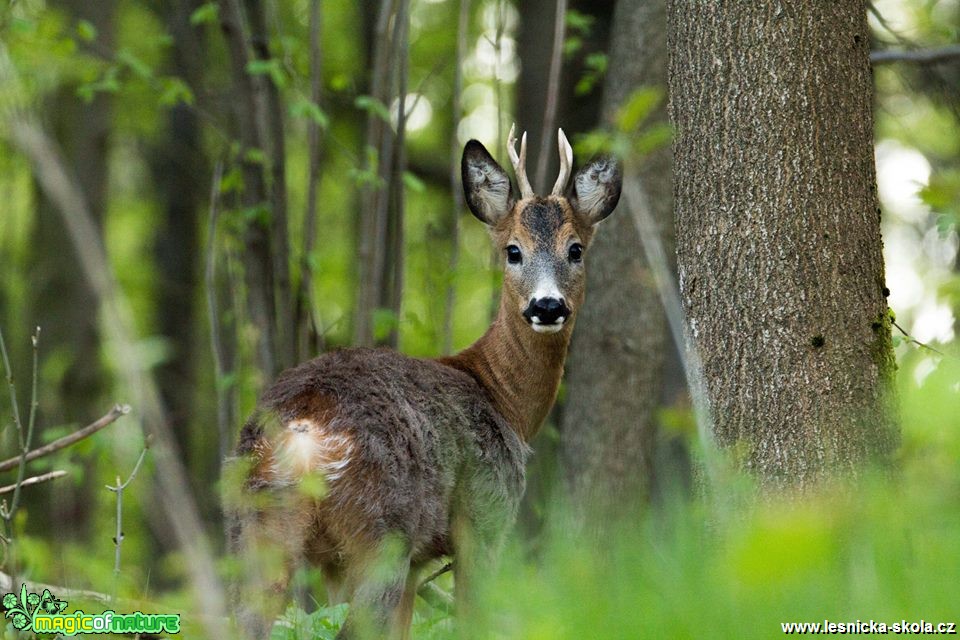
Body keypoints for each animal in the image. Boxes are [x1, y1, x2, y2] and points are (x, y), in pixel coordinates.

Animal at [225, 126, 624, 640]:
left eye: (575, 249)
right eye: (513, 251)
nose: (547, 305)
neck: (502, 398)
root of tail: (303, 435)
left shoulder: (412, 563)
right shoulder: (485, 515)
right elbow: (472, 619)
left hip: (257, 530)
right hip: (381, 531)